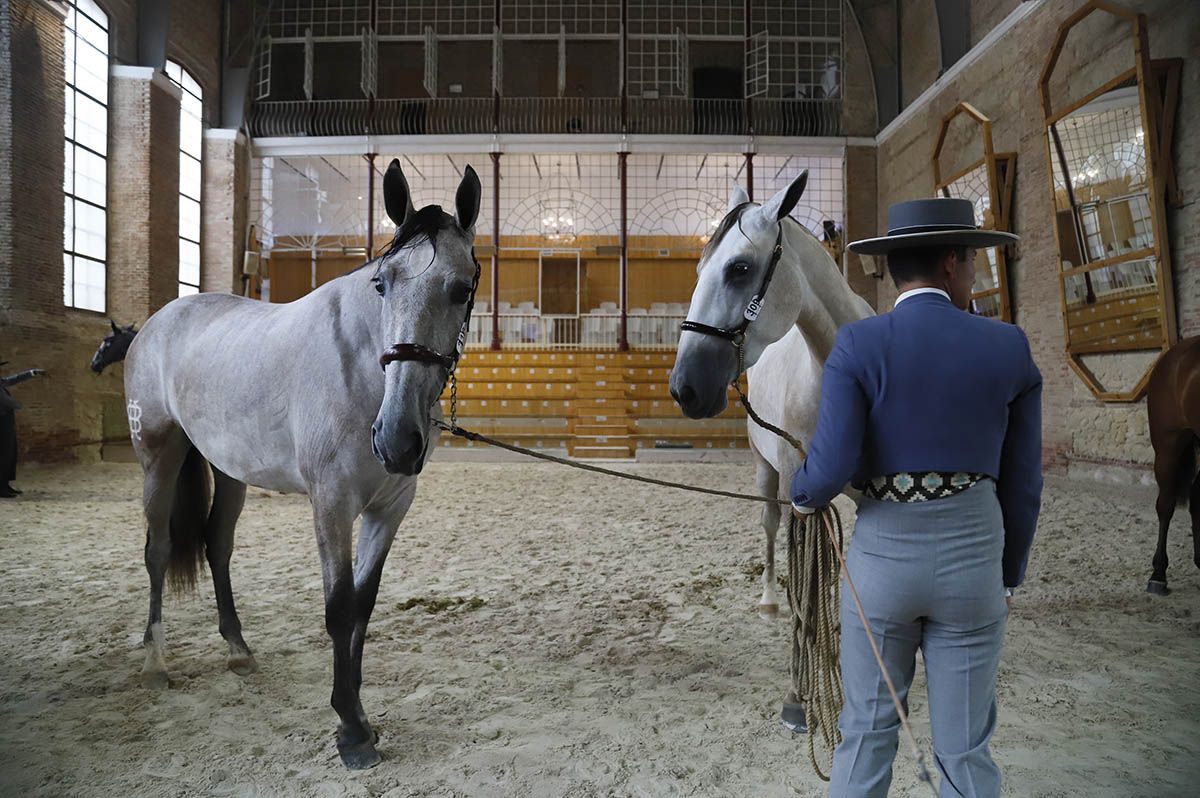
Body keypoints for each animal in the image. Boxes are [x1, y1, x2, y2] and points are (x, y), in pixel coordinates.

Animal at [121, 160, 477, 768]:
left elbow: (363, 604)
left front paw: (359, 716)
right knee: (158, 551)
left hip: (230, 472)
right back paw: (155, 662)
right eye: (382, 284)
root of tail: (157, 321)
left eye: (462, 287)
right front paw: (350, 730)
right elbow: (338, 608)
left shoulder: (390, 507)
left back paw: (237, 650)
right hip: (158, 457)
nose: (397, 440)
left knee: (217, 545)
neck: (363, 369)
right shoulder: (331, 502)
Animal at [667, 171, 873, 612]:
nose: (683, 389)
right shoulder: (801, 495)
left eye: (739, 268)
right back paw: (769, 598)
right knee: (769, 525)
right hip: (765, 470)